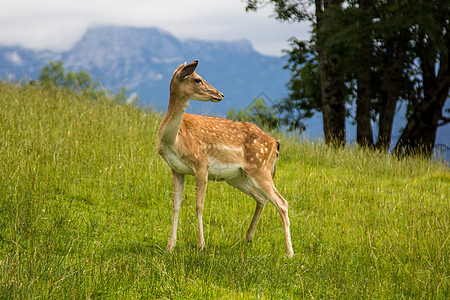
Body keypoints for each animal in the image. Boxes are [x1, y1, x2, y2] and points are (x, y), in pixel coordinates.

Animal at [156, 59, 294, 258]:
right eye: (198, 79)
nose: (220, 94)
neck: (174, 140)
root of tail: (275, 143)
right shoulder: (176, 169)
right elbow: (176, 205)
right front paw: (170, 247)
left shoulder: (201, 163)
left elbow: (199, 206)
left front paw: (201, 246)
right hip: (237, 177)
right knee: (261, 198)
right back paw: (247, 238)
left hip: (261, 169)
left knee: (282, 203)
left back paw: (289, 253)